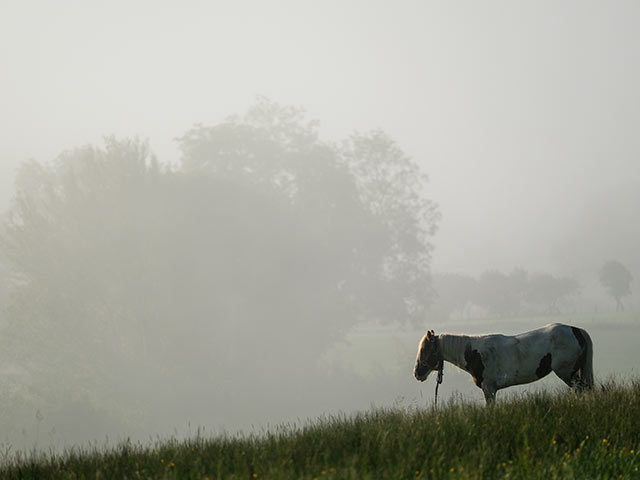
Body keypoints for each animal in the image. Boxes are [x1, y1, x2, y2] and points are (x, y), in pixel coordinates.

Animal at [416, 322, 596, 404]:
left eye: (425, 350)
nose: (417, 373)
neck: (474, 353)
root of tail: (576, 330)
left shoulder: (489, 389)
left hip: (567, 373)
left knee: (582, 389)